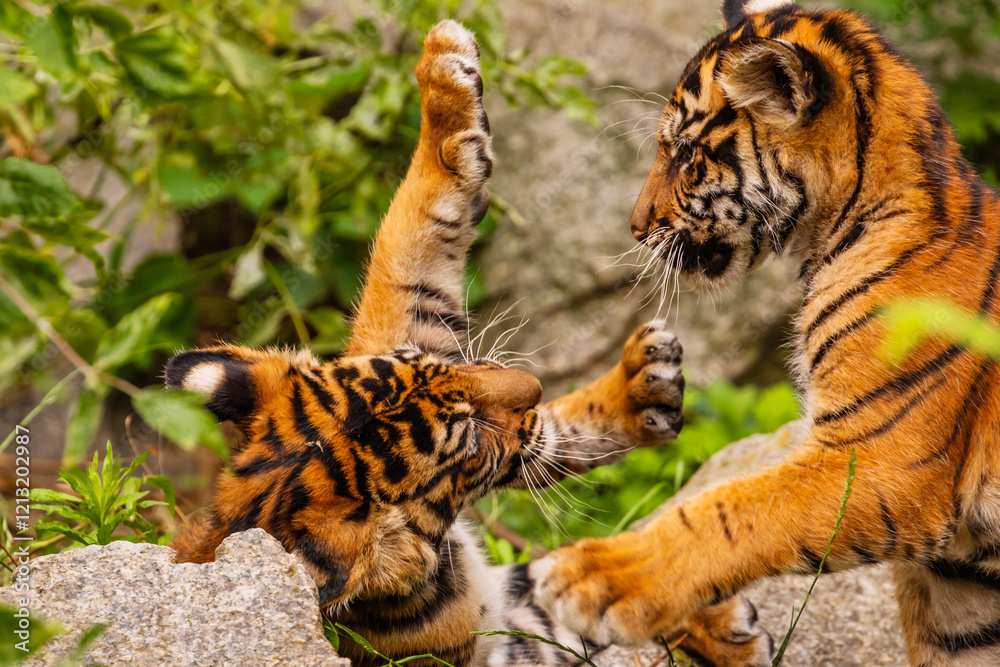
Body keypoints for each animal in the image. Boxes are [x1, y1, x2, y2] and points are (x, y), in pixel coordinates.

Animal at [165, 20, 775, 667]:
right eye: (469, 441)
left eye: (425, 363)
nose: (534, 385)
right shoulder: (501, 637)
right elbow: (557, 586)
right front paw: (721, 629)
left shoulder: (411, 318)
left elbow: (413, 225)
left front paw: (445, 70)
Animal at [530, 1, 1000, 665]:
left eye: (685, 154)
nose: (634, 227)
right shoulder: (959, 577)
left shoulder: (879, 459)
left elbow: (732, 509)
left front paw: (598, 577)